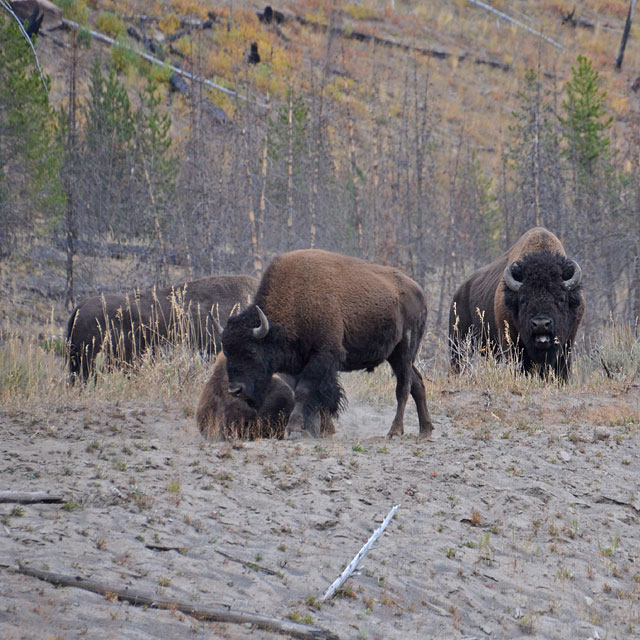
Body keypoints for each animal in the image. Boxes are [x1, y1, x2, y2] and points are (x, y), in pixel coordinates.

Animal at [220, 249, 436, 440]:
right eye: (227, 352)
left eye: (251, 352)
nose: (235, 390)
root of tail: (419, 292)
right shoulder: (302, 363)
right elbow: (318, 394)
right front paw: (321, 430)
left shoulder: (322, 356)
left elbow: (305, 392)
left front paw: (294, 429)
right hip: (395, 355)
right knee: (417, 383)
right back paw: (425, 430)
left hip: (404, 350)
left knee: (403, 387)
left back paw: (395, 432)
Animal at [450, 226, 584, 380]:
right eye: (523, 299)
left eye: (561, 298)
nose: (541, 324)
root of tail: (458, 293)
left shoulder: (567, 345)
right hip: (458, 343)